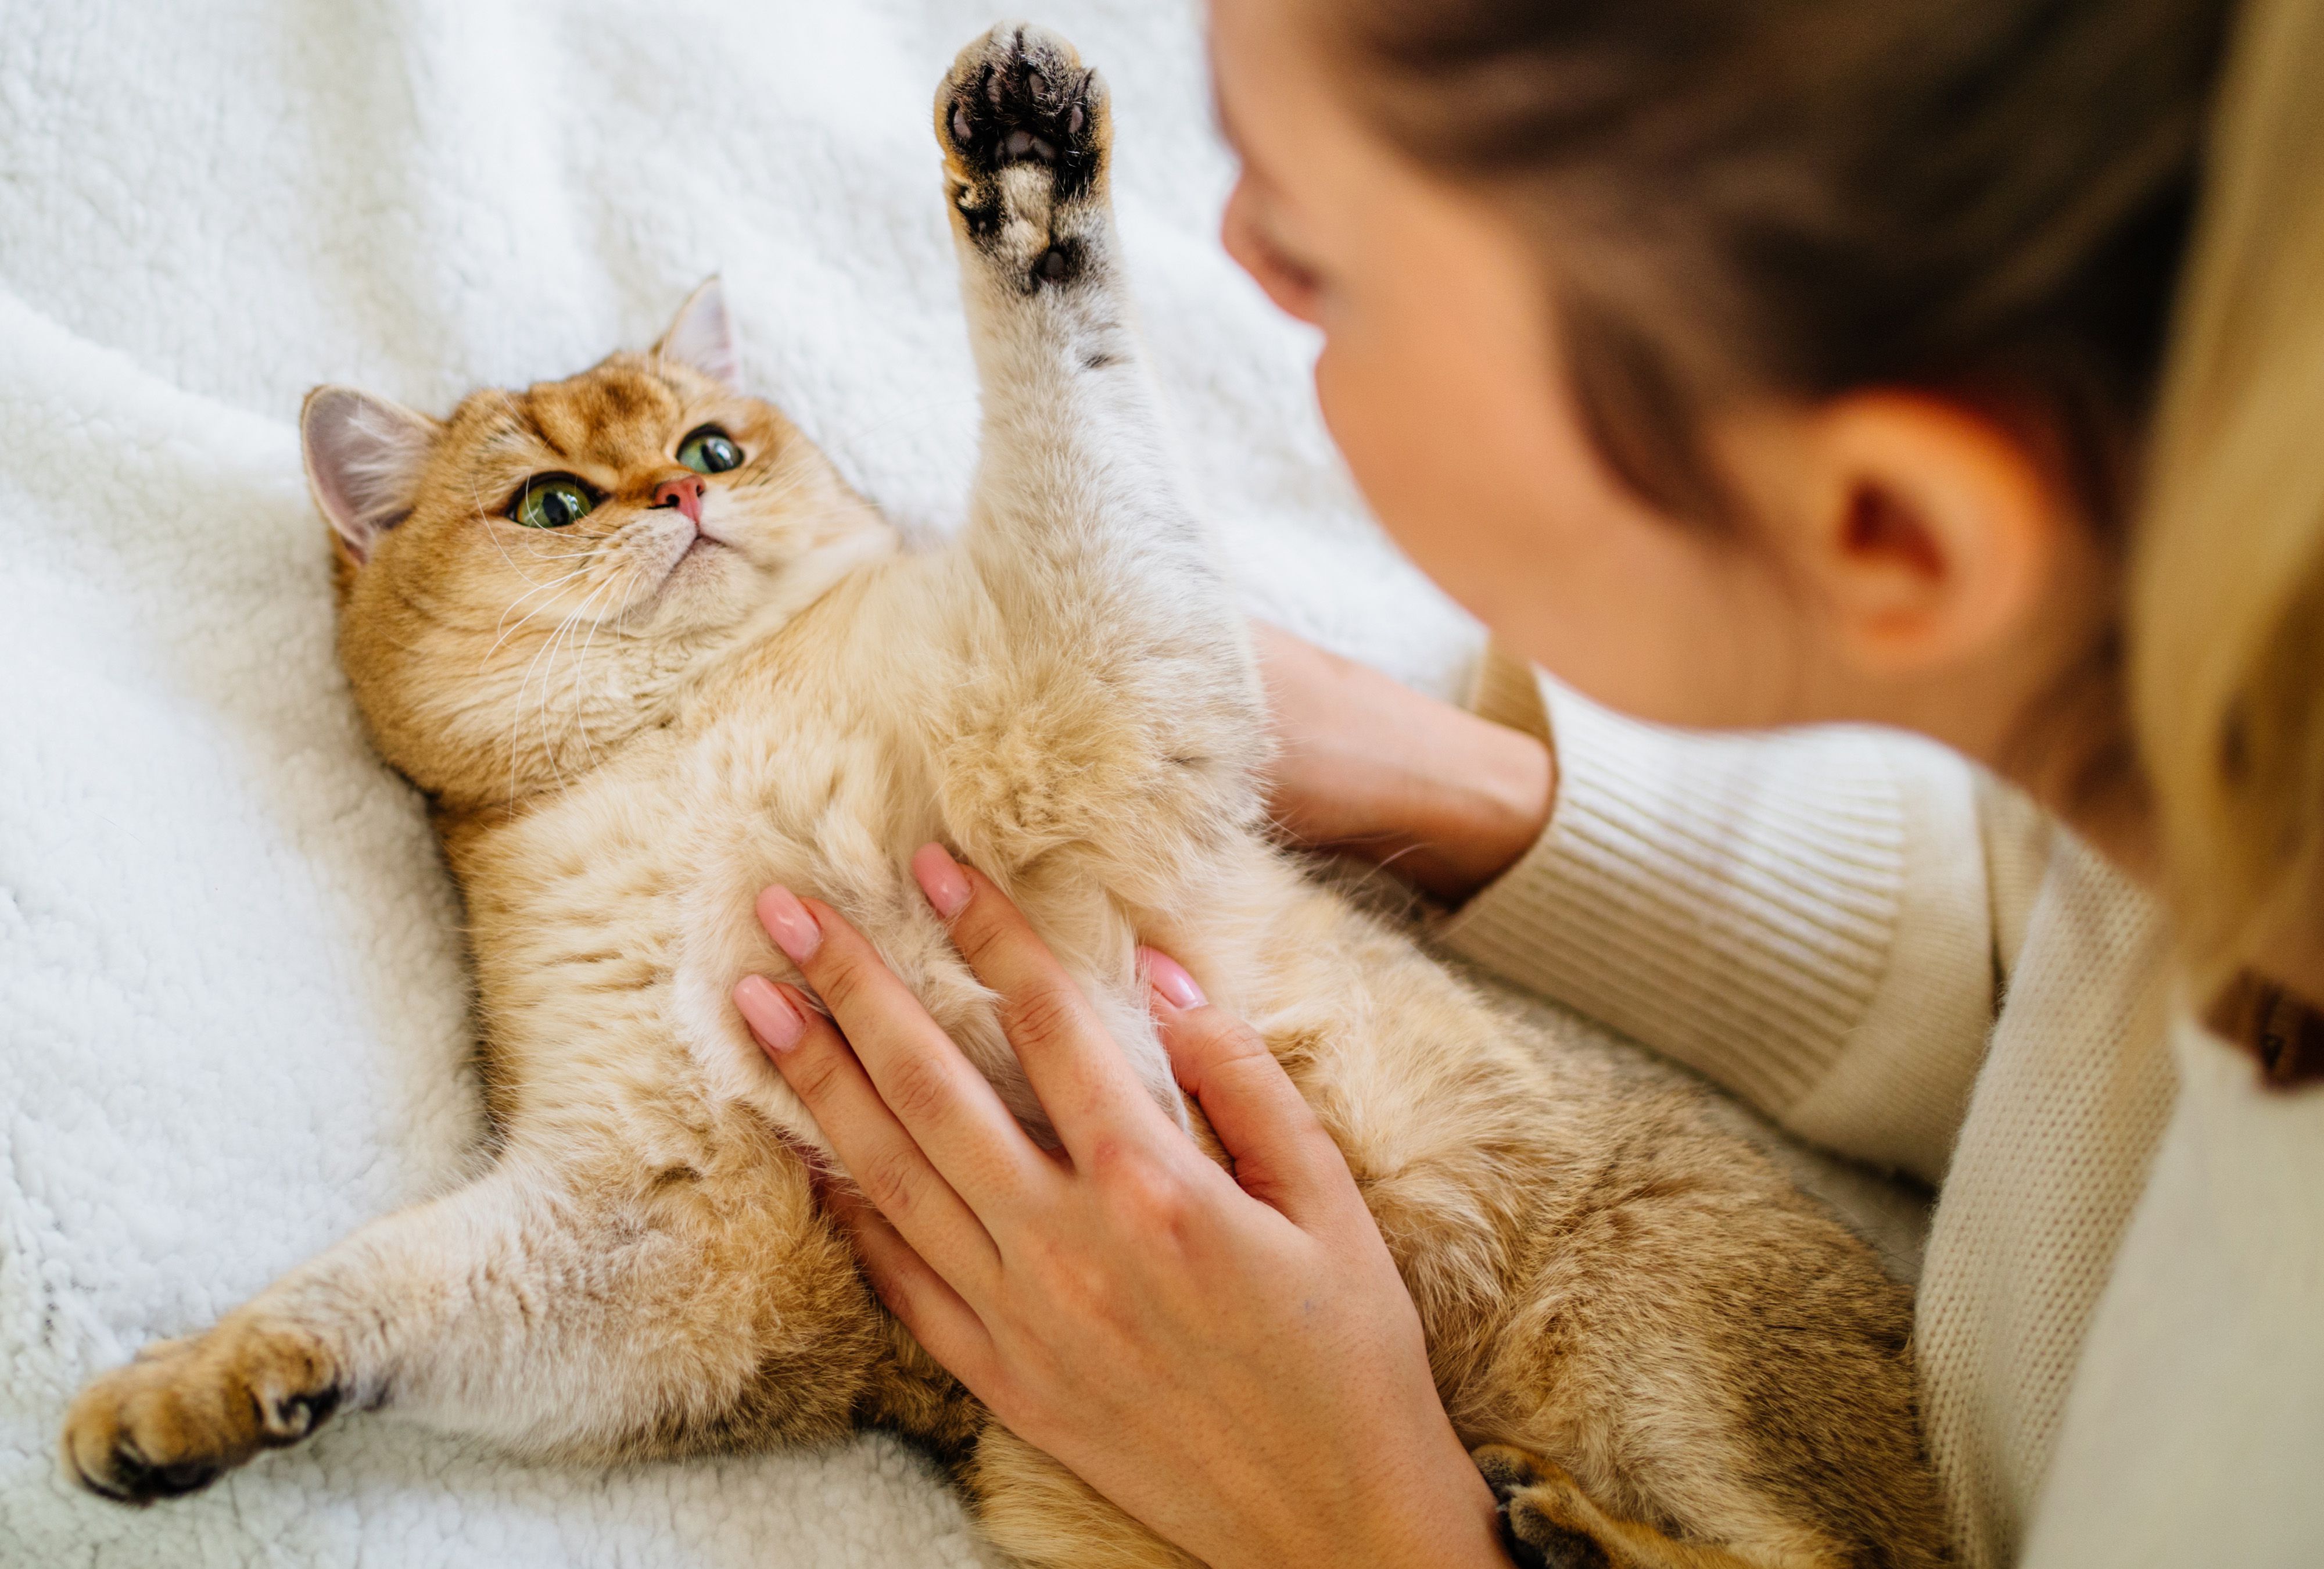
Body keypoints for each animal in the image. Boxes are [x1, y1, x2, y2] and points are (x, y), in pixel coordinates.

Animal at [59, 24, 1943, 1569]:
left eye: (715, 444)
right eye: (546, 500)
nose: (676, 493)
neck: (688, 742)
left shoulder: (1088, 715)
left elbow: (1064, 420)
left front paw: (1028, 185)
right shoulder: (675, 1221)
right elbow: (400, 1286)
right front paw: (198, 1391)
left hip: (1665, 1335)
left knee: (1837, 1559)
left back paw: (1576, 1533)